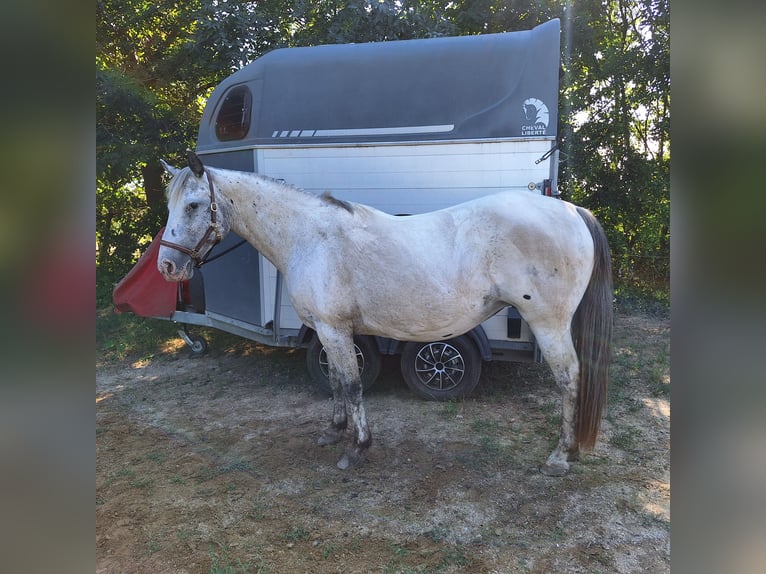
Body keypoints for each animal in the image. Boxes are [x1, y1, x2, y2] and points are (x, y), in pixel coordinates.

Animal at [159, 152, 616, 476]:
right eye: (171, 205)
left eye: (195, 205)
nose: (167, 266)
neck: (310, 236)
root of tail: (571, 211)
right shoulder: (330, 331)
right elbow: (337, 382)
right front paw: (333, 432)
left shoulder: (333, 329)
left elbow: (352, 385)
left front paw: (357, 449)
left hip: (548, 323)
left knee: (569, 378)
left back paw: (560, 457)